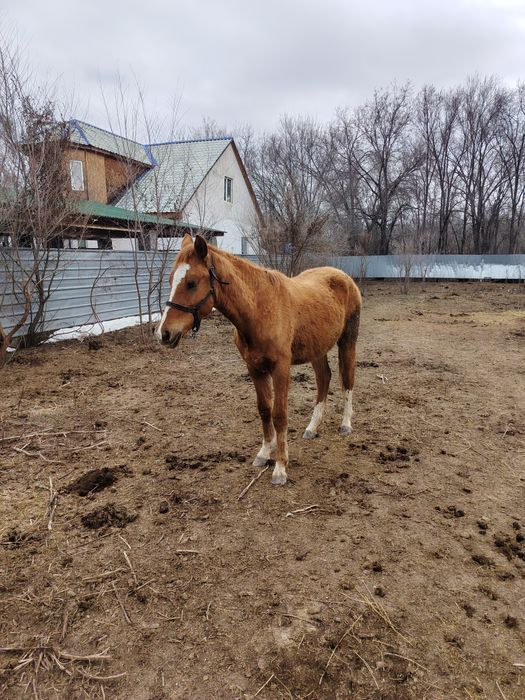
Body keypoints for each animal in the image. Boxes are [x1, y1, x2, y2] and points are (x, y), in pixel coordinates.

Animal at [156, 234, 361, 486]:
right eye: (171, 280)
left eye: (191, 282)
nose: (164, 334)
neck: (260, 310)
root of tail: (343, 276)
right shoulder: (254, 369)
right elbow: (264, 410)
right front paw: (264, 453)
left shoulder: (280, 369)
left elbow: (280, 415)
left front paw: (280, 468)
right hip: (317, 348)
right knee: (324, 378)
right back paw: (312, 427)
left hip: (348, 341)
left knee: (347, 379)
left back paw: (345, 424)